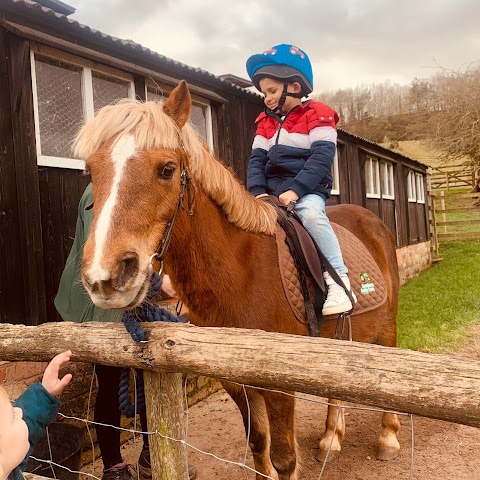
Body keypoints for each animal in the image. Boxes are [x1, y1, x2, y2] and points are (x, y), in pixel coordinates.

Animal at [77, 80, 400, 478]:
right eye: (91, 171)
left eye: (167, 169)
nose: (105, 276)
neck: (242, 272)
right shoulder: (234, 380)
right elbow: (259, 445)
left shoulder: (279, 385)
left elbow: (284, 458)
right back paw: (331, 437)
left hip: (387, 326)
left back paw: (388, 437)